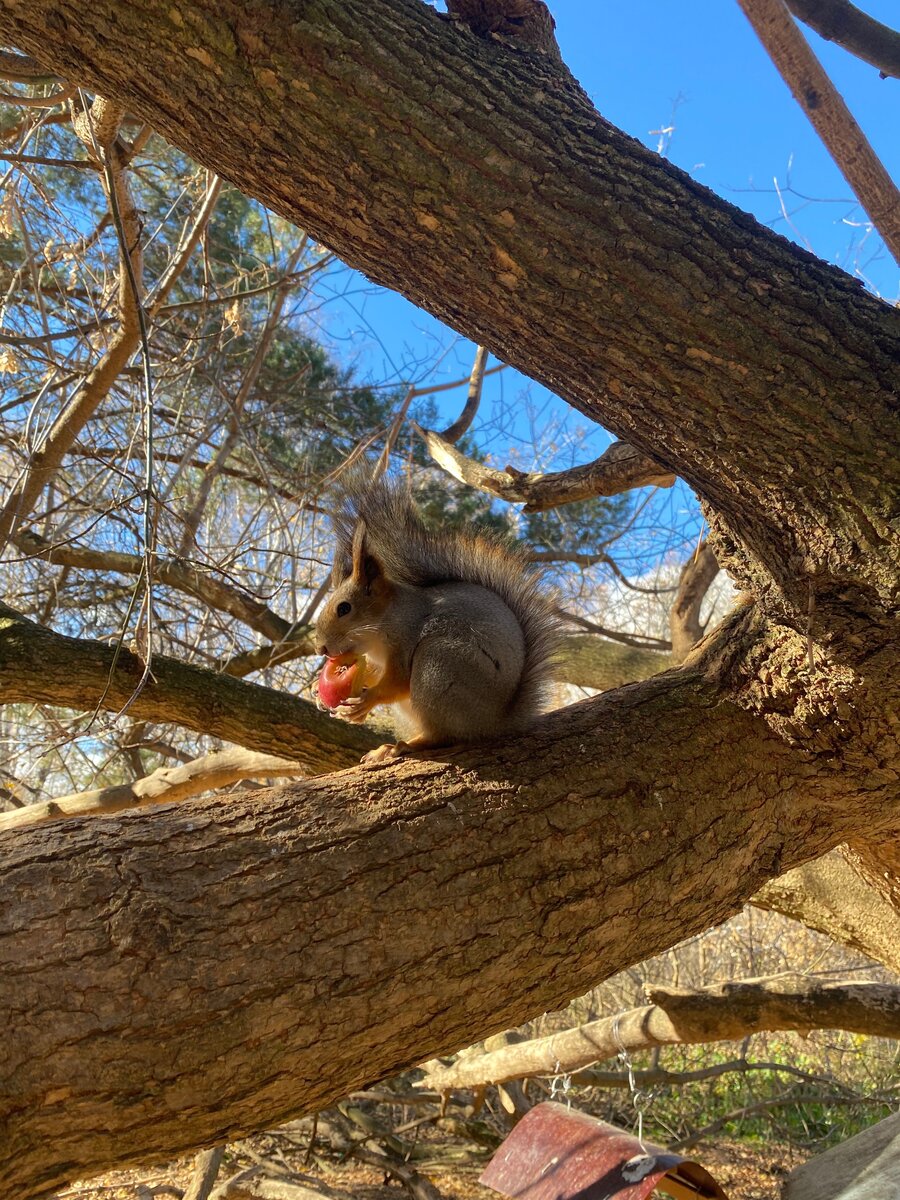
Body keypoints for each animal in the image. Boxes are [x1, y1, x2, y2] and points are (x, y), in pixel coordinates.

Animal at [314, 475, 561, 763]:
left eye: (344, 608)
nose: (320, 648)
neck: (383, 625)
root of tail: (494, 723)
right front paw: (317, 690)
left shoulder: (405, 638)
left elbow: (397, 682)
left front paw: (367, 700)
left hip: (438, 668)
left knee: (442, 735)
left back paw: (402, 746)